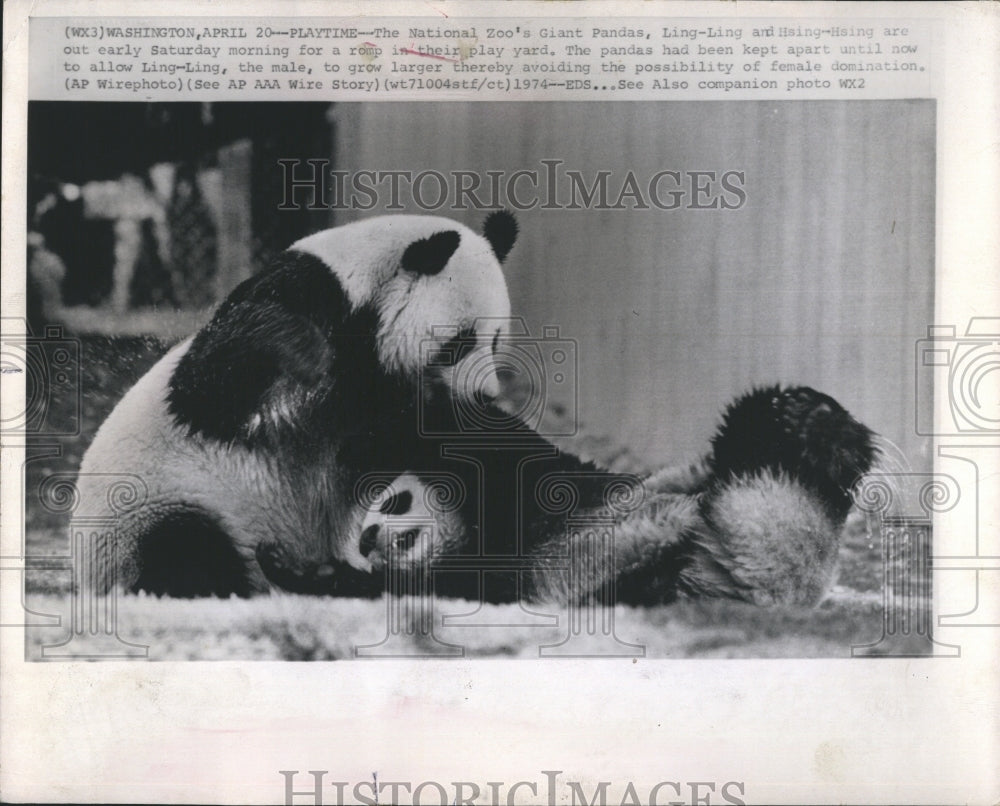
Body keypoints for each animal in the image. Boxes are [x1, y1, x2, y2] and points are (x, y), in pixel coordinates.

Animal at [76, 211, 520, 597]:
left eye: (497, 340)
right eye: (459, 343)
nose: (484, 396)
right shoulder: (309, 294)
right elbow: (212, 386)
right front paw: (311, 356)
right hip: (155, 508)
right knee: (185, 550)